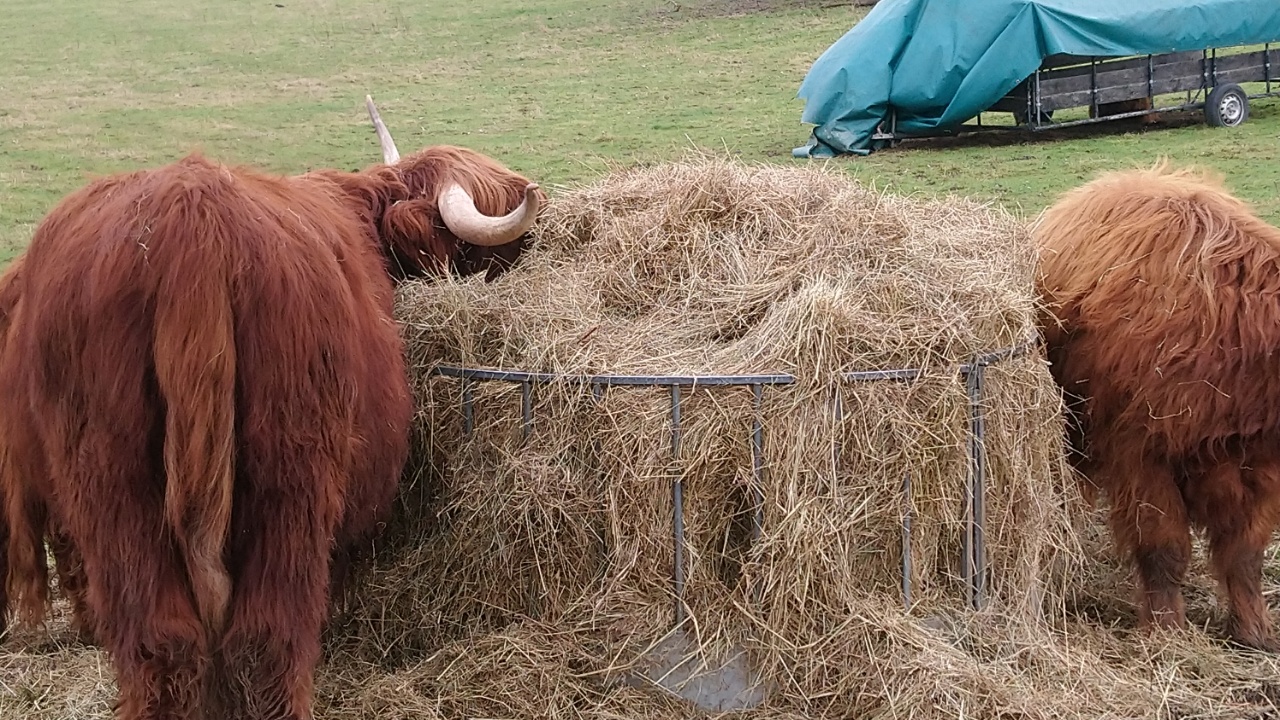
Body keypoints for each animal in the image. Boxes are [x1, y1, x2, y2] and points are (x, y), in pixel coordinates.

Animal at [0, 96, 544, 719]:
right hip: (291, 479)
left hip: (112, 487)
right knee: (269, 634)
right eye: (480, 248)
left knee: (155, 636)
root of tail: (191, 218)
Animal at [1035, 161, 1280, 650]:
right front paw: (1166, 631)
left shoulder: (1263, 474)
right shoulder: (1140, 454)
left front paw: (1254, 631)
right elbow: (1163, 548)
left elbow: (1246, 555)